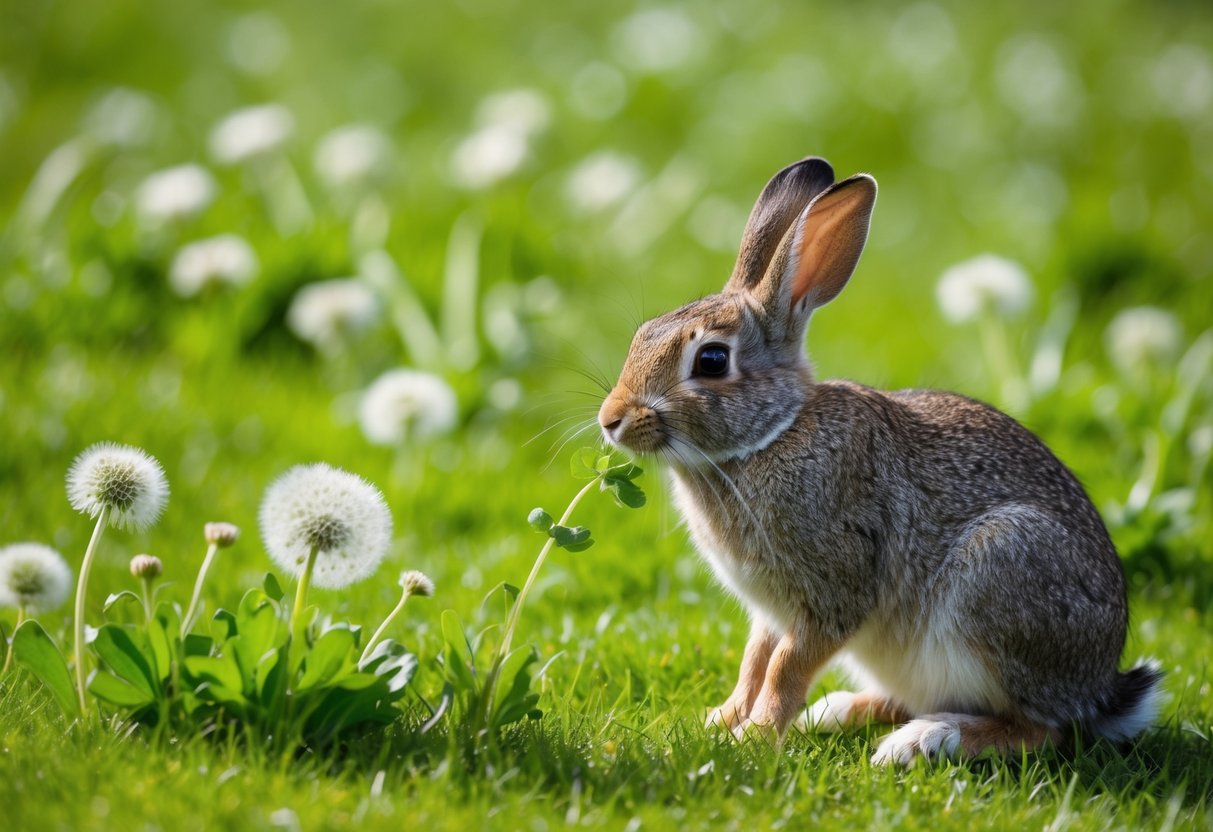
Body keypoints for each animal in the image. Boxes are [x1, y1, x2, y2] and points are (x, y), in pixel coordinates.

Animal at [596, 156, 1162, 766]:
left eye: (712, 360)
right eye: (641, 335)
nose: (611, 419)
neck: (772, 435)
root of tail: (1098, 689)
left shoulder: (834, 592)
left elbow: (784, 668)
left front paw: (755, 736)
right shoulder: (771, 613)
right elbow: (754, 662)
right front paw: (720, 722)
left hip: (1002, 571)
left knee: (1042, 729)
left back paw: (922, 741)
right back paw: (837, 711)